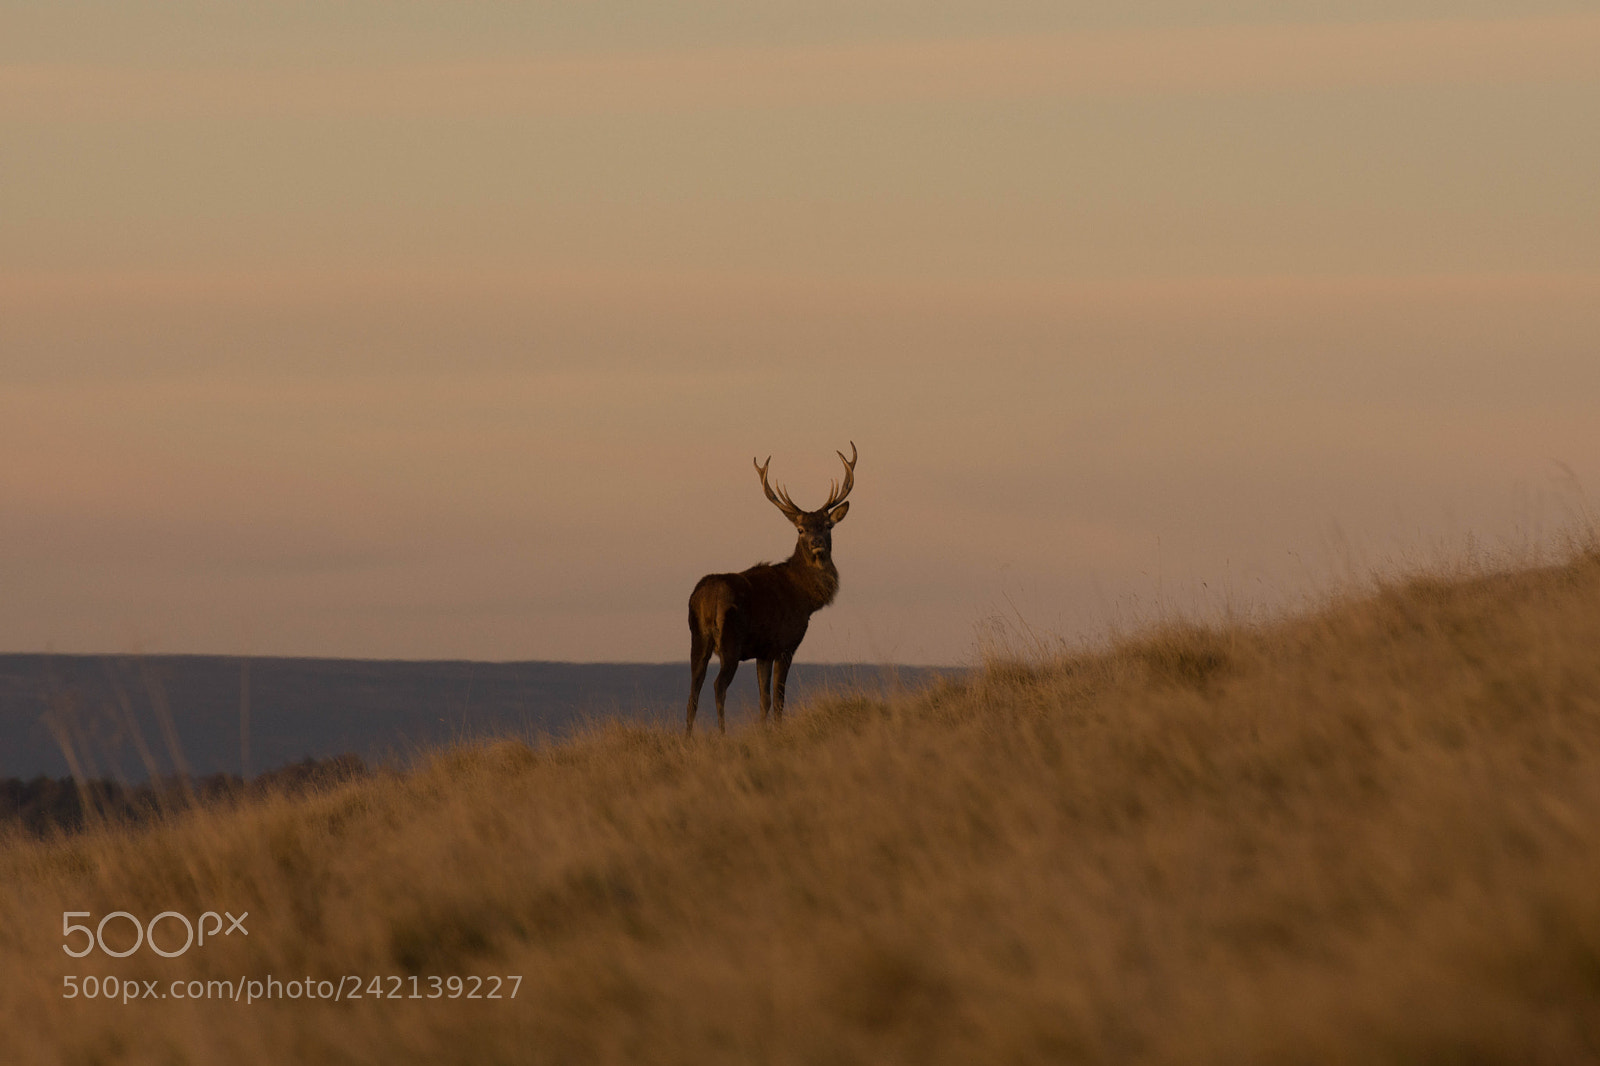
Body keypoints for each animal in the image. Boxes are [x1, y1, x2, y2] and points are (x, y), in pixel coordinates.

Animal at [685, 443, 857, 735]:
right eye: (800, 529)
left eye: (827, 525)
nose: (817, 543)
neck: (806, 599)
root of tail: (706, 598)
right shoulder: (785, 644)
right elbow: (778, 697)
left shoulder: (763, 651)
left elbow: (764, 699)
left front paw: (763, 730)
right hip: (730, 639)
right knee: (718, 685)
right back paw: (722, 733)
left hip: (698, 638)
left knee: (693, 690)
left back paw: (687, 737)